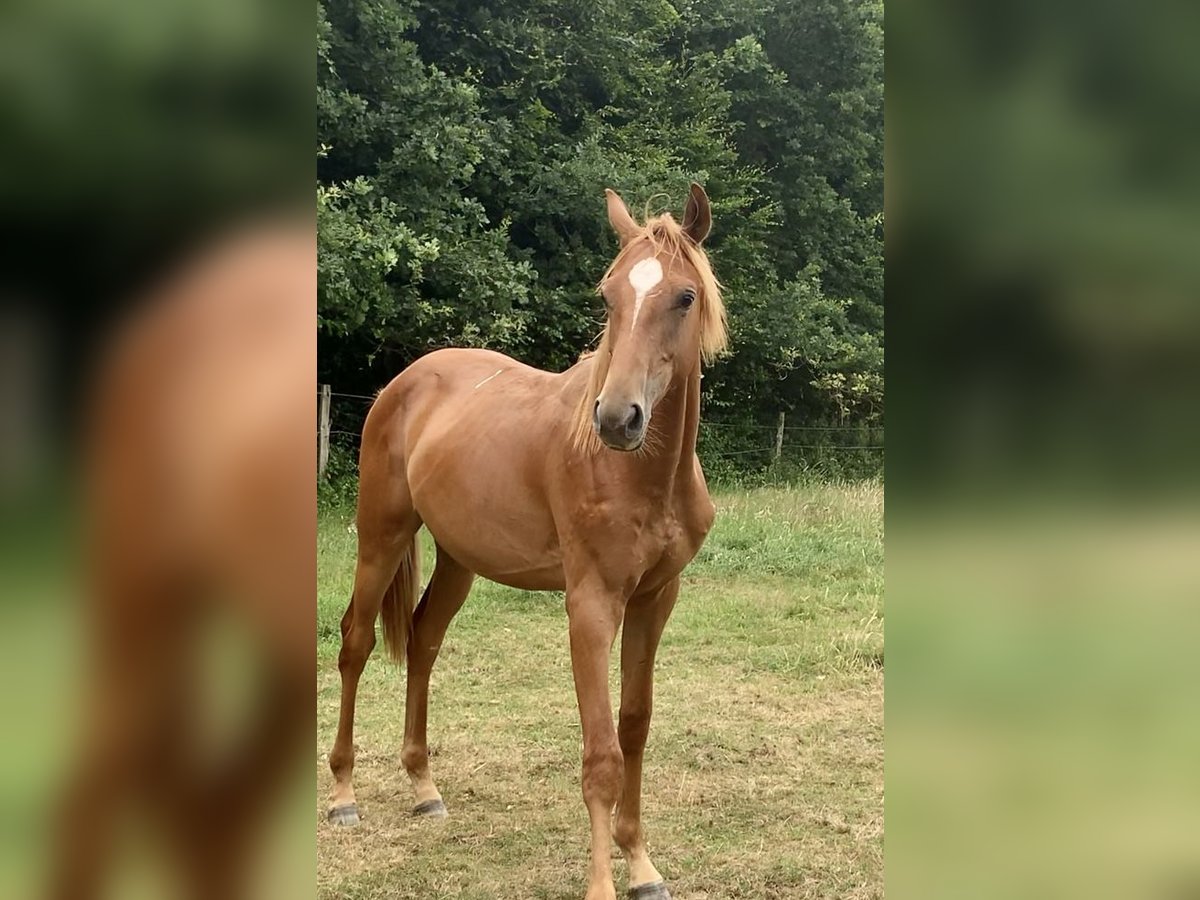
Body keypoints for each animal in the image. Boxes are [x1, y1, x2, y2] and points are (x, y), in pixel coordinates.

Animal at [327, 184, 727, 900]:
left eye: (684, 296)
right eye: (609, 295)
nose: (617, 418)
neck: (641, 475)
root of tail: (402, 383)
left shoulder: (655, 598)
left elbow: (635, 726)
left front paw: (642, 865)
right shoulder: (591, 604)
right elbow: (601, 752)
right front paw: (602, 885)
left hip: (459, 559)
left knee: (424, 641)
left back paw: (424, 786)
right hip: (381, 537)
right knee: (356, 643)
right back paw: (344, 796)